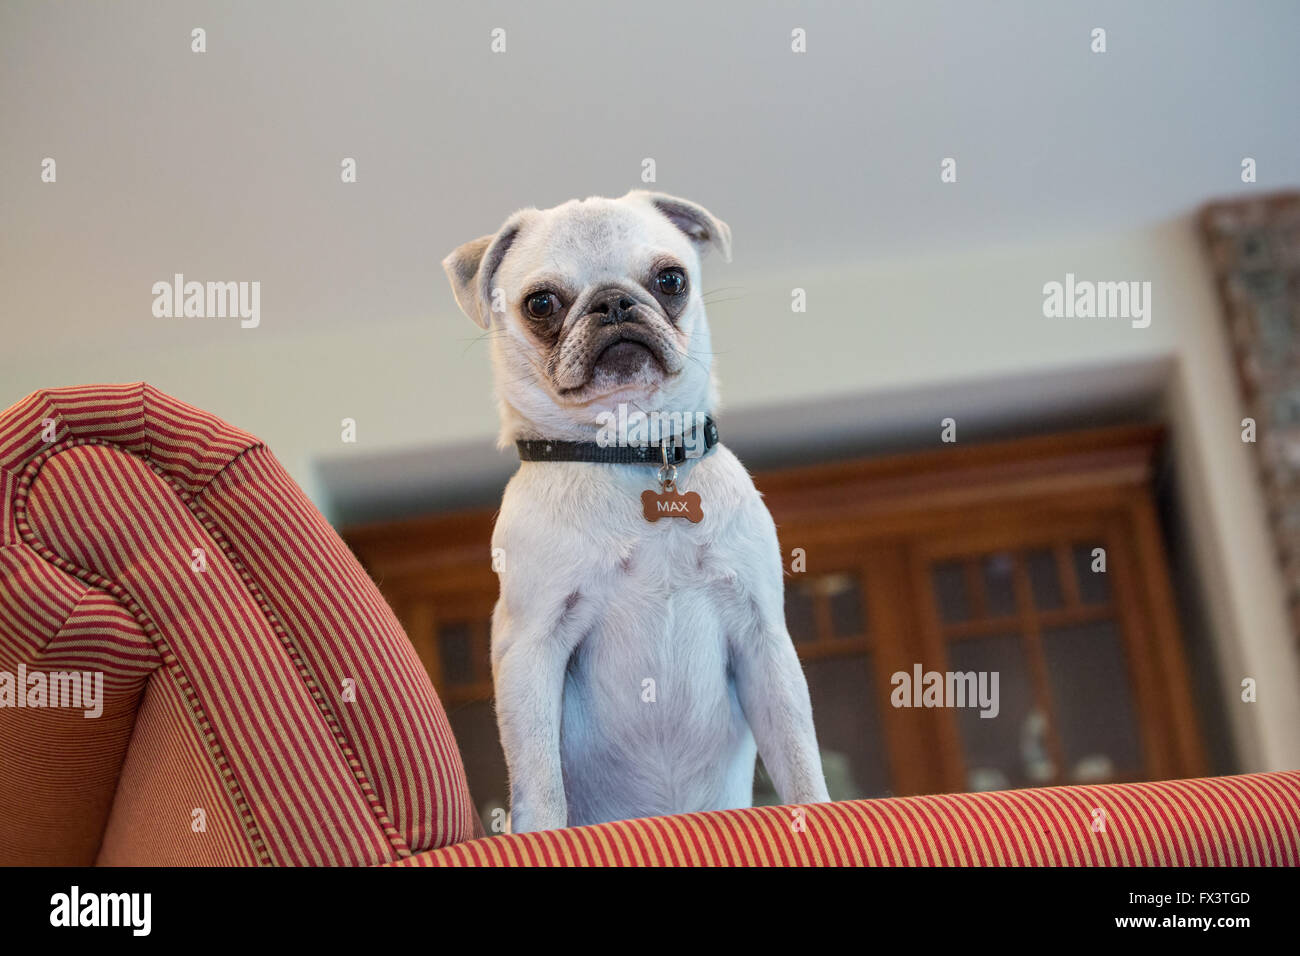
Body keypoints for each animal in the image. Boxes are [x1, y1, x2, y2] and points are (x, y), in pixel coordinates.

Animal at [441, 192, 826, 832]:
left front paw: (816, 813)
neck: (631, 451)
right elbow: (540, 781)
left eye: (671, 280)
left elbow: (798, 756)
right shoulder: (532, 651)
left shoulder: (763, 641)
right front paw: (540, 836)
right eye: (540, 303)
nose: (614, 301)